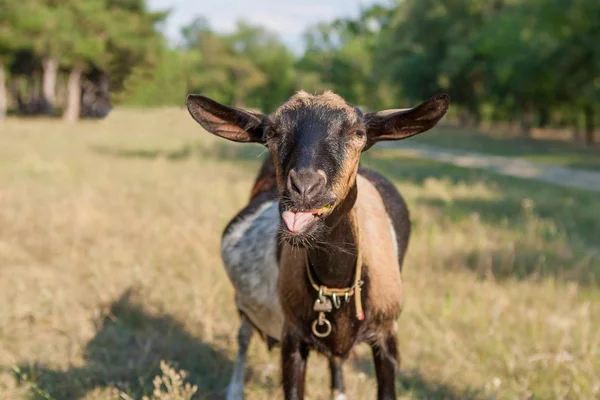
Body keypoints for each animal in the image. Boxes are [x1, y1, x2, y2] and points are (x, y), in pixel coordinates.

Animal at [185, 89, 448, 398]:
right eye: (272, 132)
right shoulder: (292, 337)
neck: (334, 285)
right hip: (244, 303)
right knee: (243, 335)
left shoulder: (387, 336)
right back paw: (235, 390)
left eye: (358, 132)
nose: (304, 187)